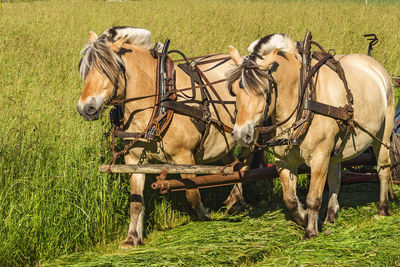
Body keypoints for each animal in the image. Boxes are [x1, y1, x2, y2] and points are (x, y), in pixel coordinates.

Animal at [76, 27, 252, 249]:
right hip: (224, 138)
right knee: (231, 164)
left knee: (245, 165)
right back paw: (235, 200)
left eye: (108, 69)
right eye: (84, 70)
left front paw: (205, 218)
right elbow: (135, 202)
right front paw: (132, 238)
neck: (160, 102)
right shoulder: (134, 160)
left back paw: (238, 199)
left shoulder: (184, 157)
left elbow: (192, 194)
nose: (85, 109)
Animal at [227, 34, 396, 239]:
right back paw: (330, 216)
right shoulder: (283, 160)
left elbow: (313, 198)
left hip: (383, 135)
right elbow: (290, 199)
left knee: (383, 169)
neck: (302, 99)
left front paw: (311, 232)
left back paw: (382, 209)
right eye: (234, 91)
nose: (240, 135)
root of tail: (374, 65)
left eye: (262, 91)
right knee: (335, 178)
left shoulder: (320, 156)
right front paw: (305, 218)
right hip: (337, 149)